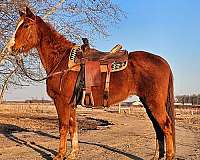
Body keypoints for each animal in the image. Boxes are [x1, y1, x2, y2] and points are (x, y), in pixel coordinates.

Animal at [8, 7, 175, 159]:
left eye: (25, 25)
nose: (11, 47)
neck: (61, 60)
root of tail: (163, 62)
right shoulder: (71, 104)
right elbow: (72, 126)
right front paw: (73, 153)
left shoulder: (61, 101)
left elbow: (63, 127)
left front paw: (60, 155)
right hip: (148, 103)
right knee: (158, 128)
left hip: (154, 103)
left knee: (166, 126)